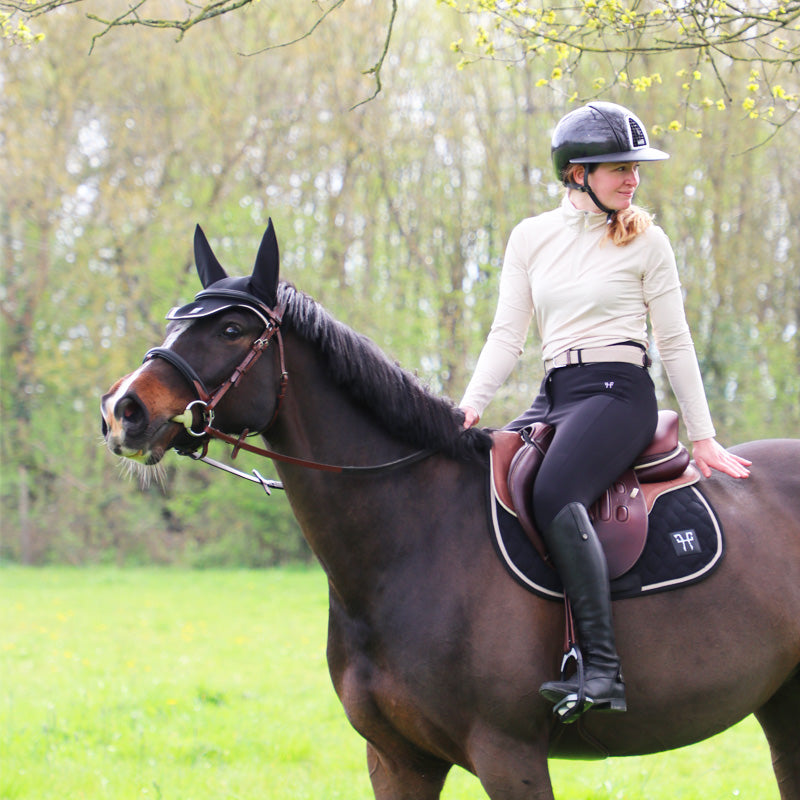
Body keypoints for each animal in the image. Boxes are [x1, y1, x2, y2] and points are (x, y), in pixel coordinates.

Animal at [101, 222, 800, 800]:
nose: (122, 411)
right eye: (174, 323)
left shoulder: (509, 756)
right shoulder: (396, 759)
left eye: (230, 330)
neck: (413, 538)